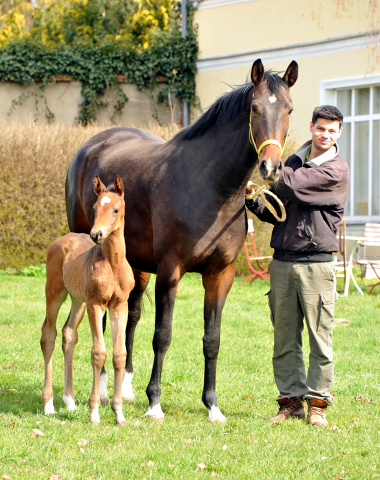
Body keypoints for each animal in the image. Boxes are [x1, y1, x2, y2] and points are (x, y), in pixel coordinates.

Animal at [40, 175, 134, 424]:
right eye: (94, 208)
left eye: (115, 209)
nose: (96, 235)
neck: (112, 263)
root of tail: (61, 240)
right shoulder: (96, 305)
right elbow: (98, 352)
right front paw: (94, 413)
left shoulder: (119, 305)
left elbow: (119, 354)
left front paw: (119, 414)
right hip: (55, 293)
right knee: (49, 335)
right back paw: (49, 404)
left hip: (77, 300)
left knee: (68, 334)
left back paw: (70, 402)